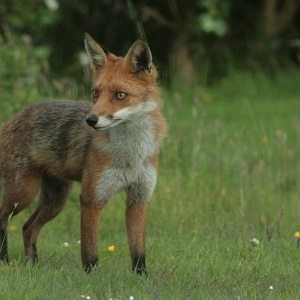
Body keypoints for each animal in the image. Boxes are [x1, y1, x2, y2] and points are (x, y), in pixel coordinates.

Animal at [0, 32, 166, 274]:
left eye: (120, 95)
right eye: (95, 93)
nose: (90, 120)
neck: (130, 154)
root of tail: (13, 118)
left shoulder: (139, 197)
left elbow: (138, 251)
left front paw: (141, 278)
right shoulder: (91, 197)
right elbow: (89, 247)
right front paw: (91, 276)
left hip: (55, 201)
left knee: (27, 228)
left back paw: (33, 265)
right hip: (23, 193)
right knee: (3, 219)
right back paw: (4, 260)